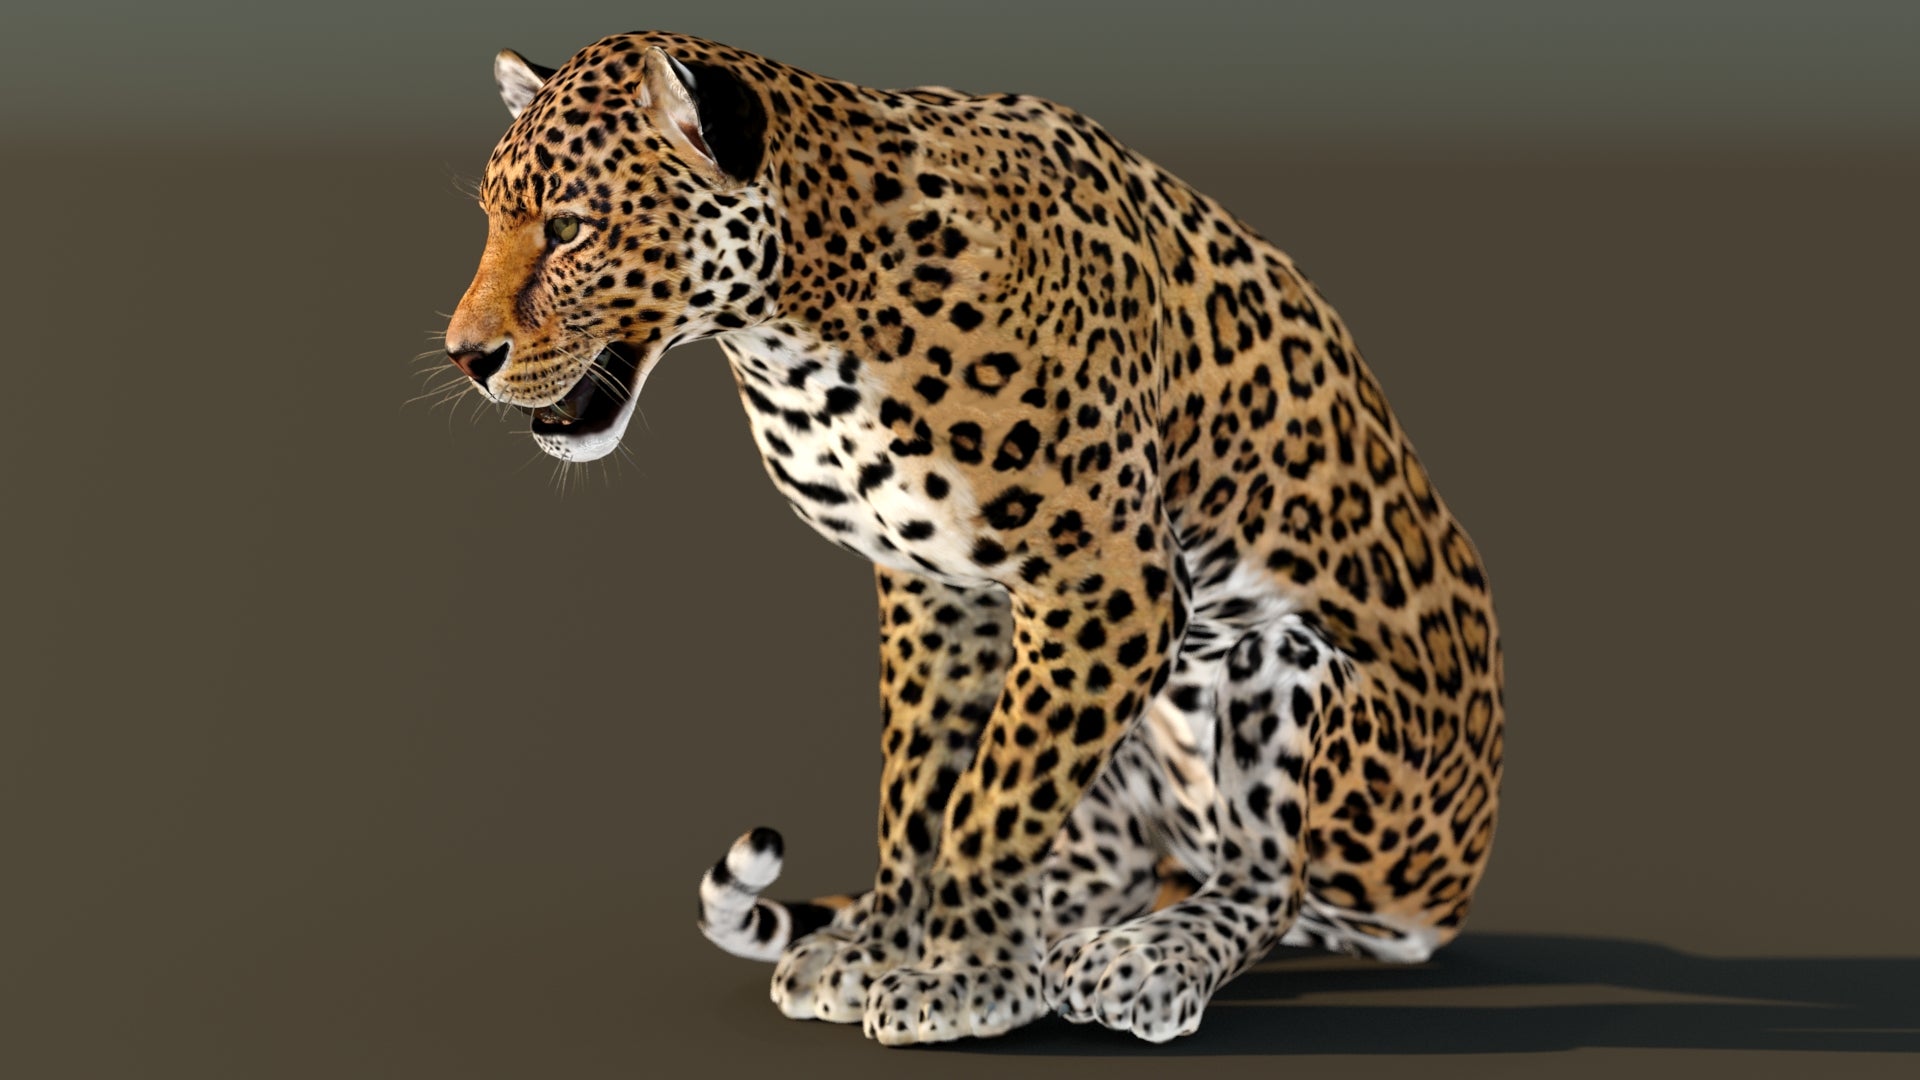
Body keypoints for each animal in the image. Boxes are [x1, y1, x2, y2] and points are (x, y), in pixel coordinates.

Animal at [441, 30, 1504, 1046]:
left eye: (570, 227)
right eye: (491, 221)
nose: (464, 356)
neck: (801, 331)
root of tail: (1449, 895)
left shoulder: (1108, 584)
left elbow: (995, 801)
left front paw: (963, 980)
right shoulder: (936, 588)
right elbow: (920, 788)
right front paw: (880, 951)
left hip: (1287, 673)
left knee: (1268, 880)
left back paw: (1142, 960)